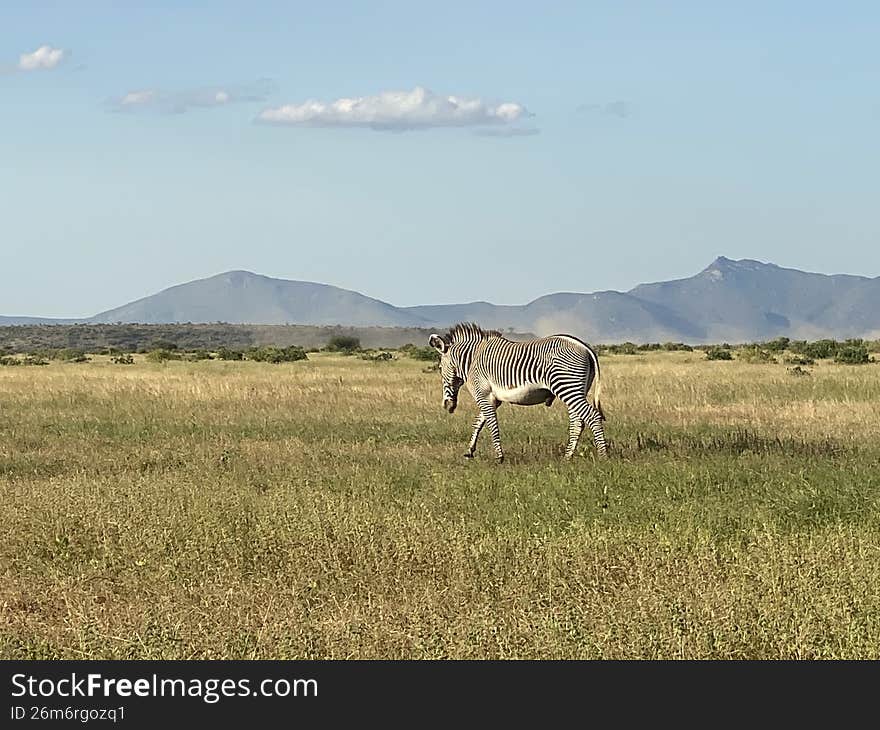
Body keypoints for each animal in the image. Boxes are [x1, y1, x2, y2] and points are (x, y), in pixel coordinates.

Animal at [428, 323, 607, 462]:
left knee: (592, 416)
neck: (472, 359)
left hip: (567, 387)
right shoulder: (492, 399)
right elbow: (479, 422)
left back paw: (603, 456)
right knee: (578, 422)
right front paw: (469, 451)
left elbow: (491, 424)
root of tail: (584, 346)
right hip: (575, 389)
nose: (447, 406)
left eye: (439, 368)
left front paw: (499, 457)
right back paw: (567, 457)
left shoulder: (483, 395)